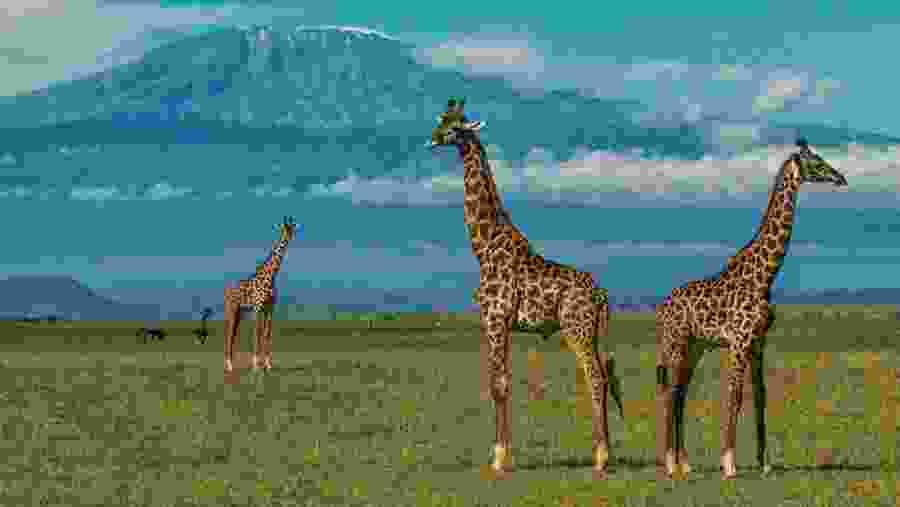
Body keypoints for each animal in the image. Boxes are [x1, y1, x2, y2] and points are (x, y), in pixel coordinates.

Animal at [223, 216, 297, 373]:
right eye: (286, 227)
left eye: (292, 227)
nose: (291, 234)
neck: (271, 276)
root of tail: (227, 290)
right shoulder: (257, 308)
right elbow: (257, 333)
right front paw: (256, 365)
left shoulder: (269, 308)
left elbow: (266, 334)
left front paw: (268, 365)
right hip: (231, 309)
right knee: (228, 333)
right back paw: (229, 366)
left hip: (239, 312)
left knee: (234, 334)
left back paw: (232, 364)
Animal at [429, 98, 623, 476]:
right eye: (442, 120)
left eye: (456, 127)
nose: (432, 138)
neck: (483, 246)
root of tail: (602, 294)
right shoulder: (501, 323)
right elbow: (501, 381)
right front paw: (500, 454)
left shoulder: (494, 318)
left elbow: (498, 384)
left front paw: (498, 458)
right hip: (591, 332)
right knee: (603, 377)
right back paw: (602, 452)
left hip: (576, 330)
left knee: (595, 377)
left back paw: (601, 458)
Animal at [656, 139, 847, 479]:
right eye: (816, 161)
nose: (841, 177)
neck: (764, 275)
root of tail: (661, 307)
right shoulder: (739, 340)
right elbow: (735, 395)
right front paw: (729, 464)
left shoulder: (759, 342)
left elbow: (760, 396)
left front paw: (764, 462)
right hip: (675, 342)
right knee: (671, 393)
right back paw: (669, 464)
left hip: (695, 347)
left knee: (681, 394)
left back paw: (685, 463)